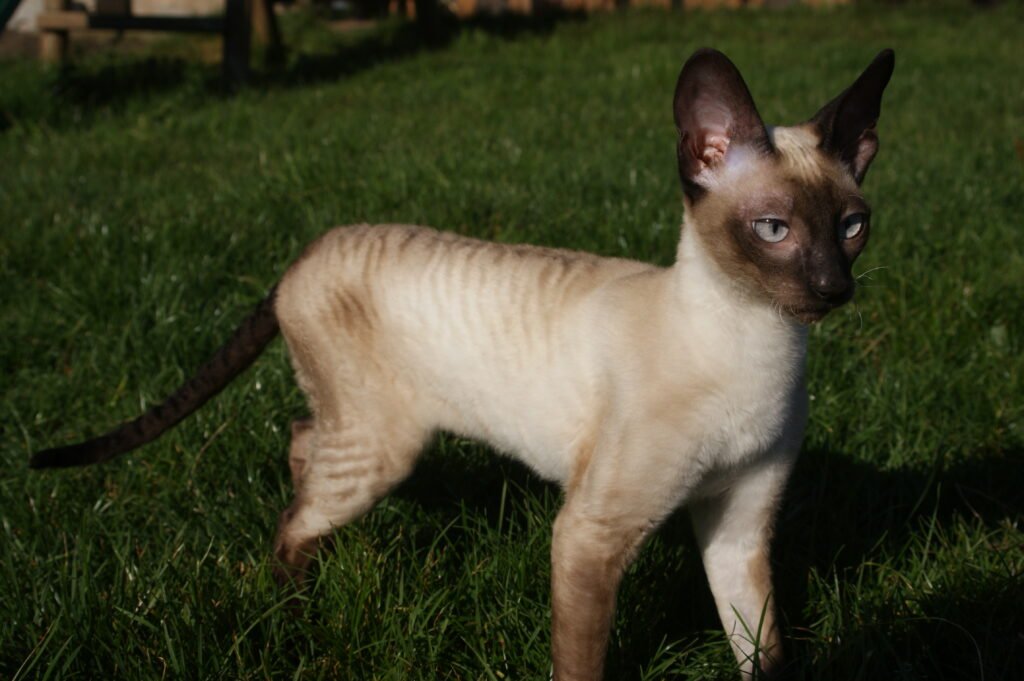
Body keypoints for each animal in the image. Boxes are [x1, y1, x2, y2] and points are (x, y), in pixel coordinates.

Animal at [32, 49, 892, 679]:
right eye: (773, 229)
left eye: (851, 226)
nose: (832, 288)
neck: (761, 348)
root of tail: (304, 252)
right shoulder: (591, 535)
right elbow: (580, 664)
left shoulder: (739, 526)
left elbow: (762, 652)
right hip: (383, 446)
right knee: (293, 515)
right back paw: (296, 613)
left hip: (361, 432)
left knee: (301, 439)